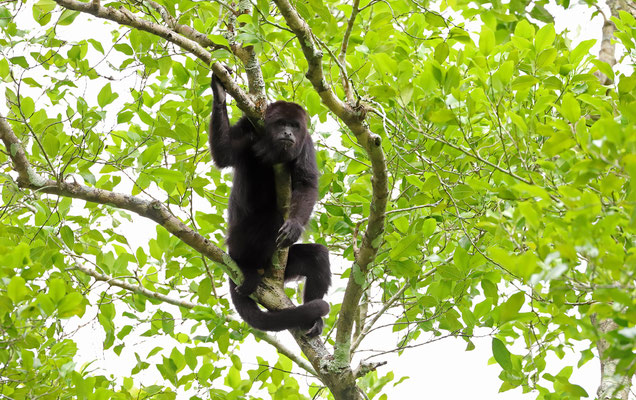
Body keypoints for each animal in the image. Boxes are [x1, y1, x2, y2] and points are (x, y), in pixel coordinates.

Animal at [209, 72, 332, 338]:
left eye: (294, 126)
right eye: (281, 123)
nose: (287, 133)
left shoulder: (306, 143)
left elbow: (306, 185)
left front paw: (294, 226)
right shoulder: (248, 123)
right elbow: (224, 153)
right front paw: (220, 92)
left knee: (318, 256)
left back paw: (314, 319)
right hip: (237, 242)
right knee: (270, 218)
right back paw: (247, 267)